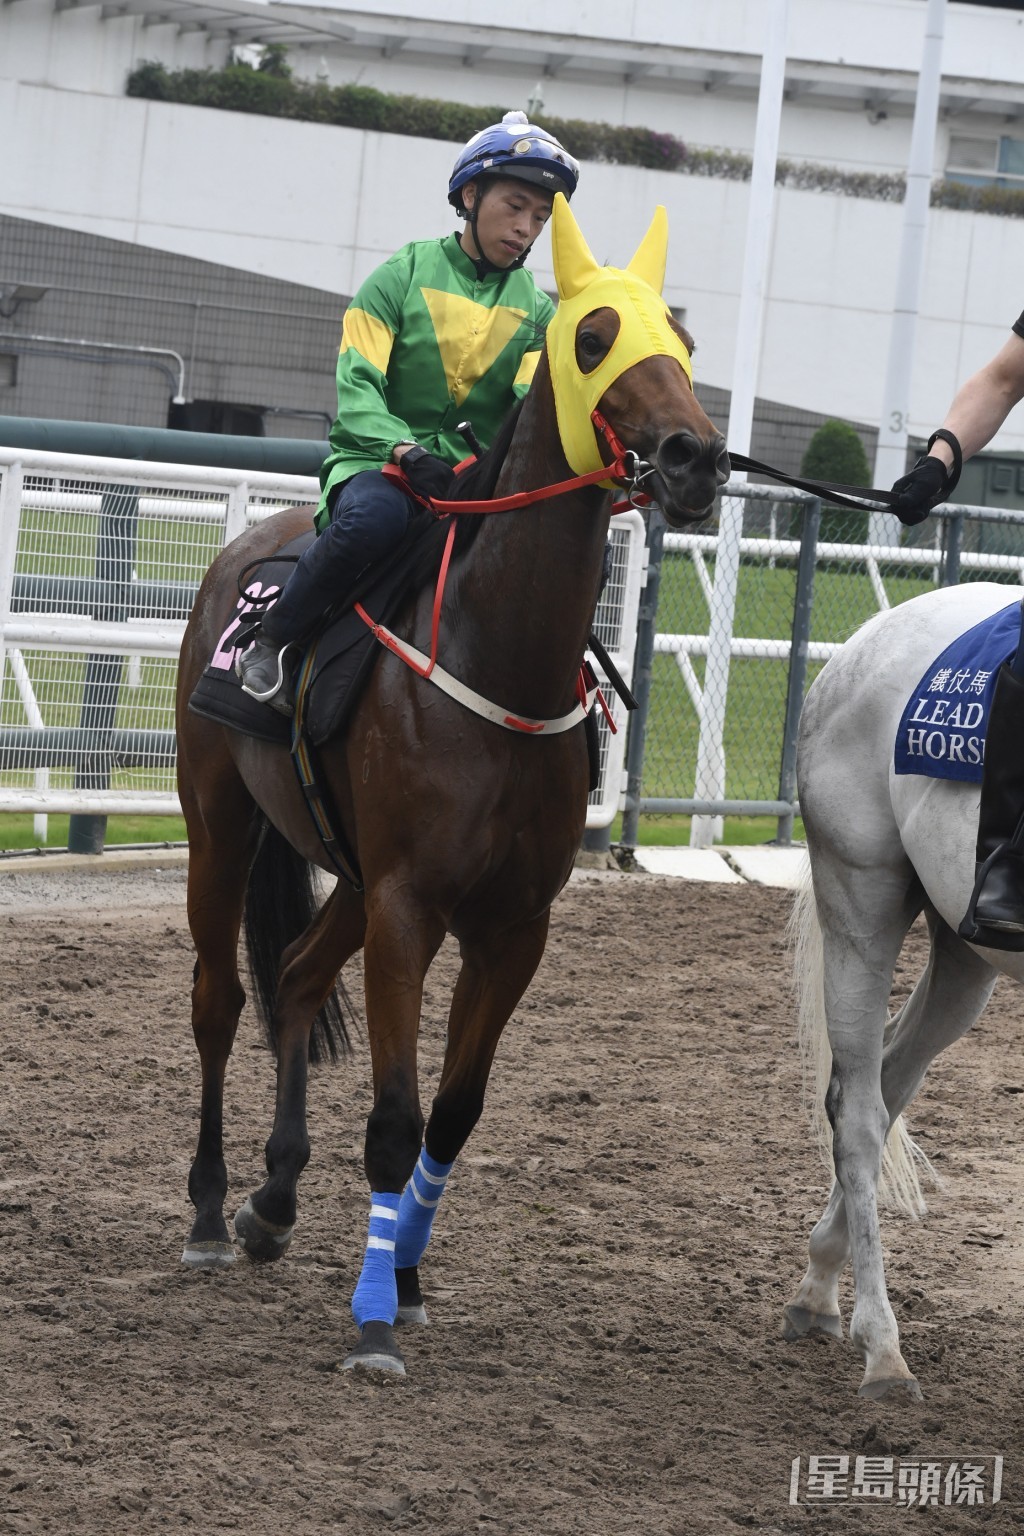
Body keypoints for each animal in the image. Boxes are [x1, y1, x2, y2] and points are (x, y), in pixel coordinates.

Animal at [174, 194, 729, 1374]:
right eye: (592, 337)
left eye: (682, 339)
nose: (695, 455)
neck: (495, 656)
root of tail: (245, 549)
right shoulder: (410, 909)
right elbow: (391, 1119)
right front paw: (375, 1321)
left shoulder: (510, 924)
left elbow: (451, 1115)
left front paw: (408, 1275)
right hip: (222, 825)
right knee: (220, 998)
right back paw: (206, 1208)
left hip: (345, 873)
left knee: (296, 976)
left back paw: (272, 1203)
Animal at [784, 577, 1024, 1400]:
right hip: (863, 902)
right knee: (857, 1110)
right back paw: (881, 1347)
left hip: (966, 956)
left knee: (888, 1081)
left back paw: (820, 1286)